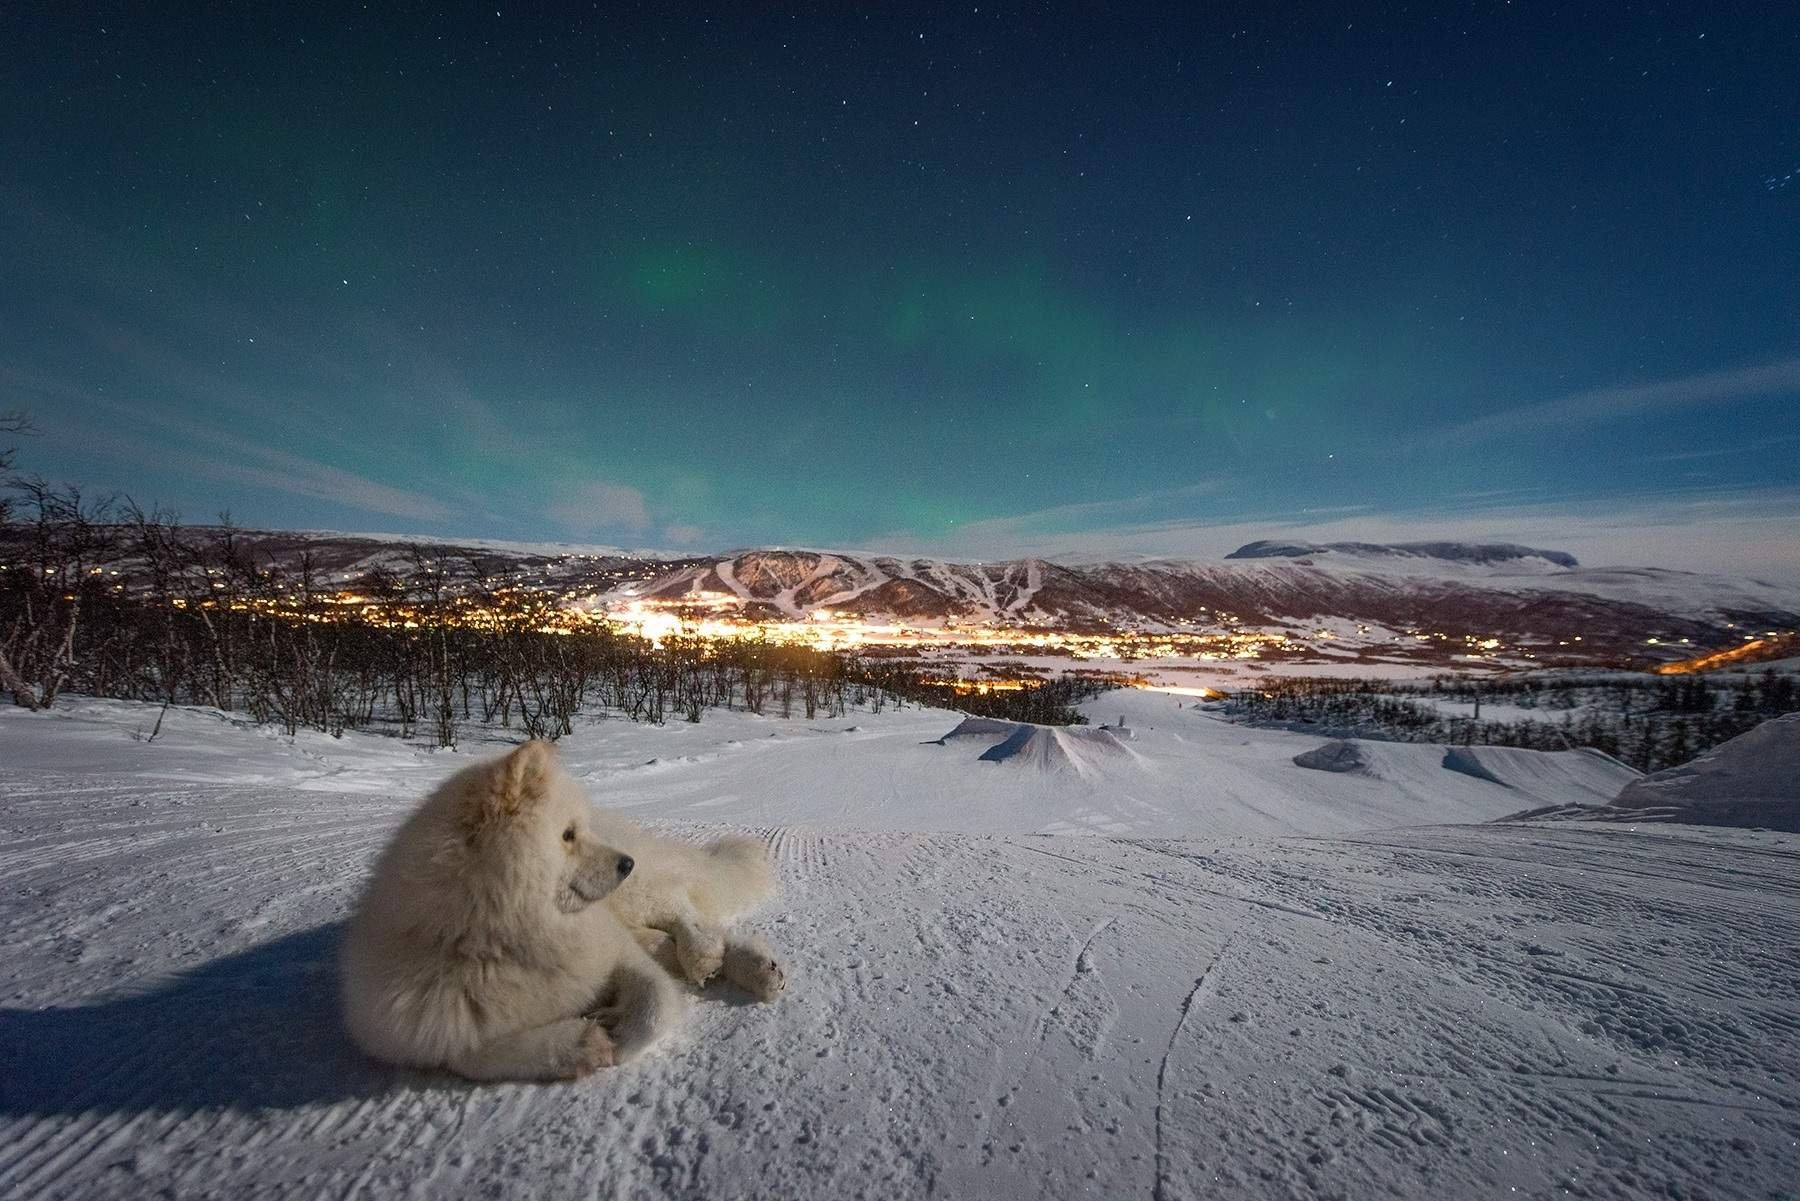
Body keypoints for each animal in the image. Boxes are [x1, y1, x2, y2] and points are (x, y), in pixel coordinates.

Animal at [340, 738, 784, 1087]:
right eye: (568, 836)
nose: (627, 864)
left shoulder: (615, 951)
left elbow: (653, 1007)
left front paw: (619, 1031)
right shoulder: (426, 1027)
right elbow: (478, 1056)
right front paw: (581, 1045)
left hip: (637, 897)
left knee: (684, 913)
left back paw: (709, 955)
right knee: (678, 937)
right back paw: (753, 968)